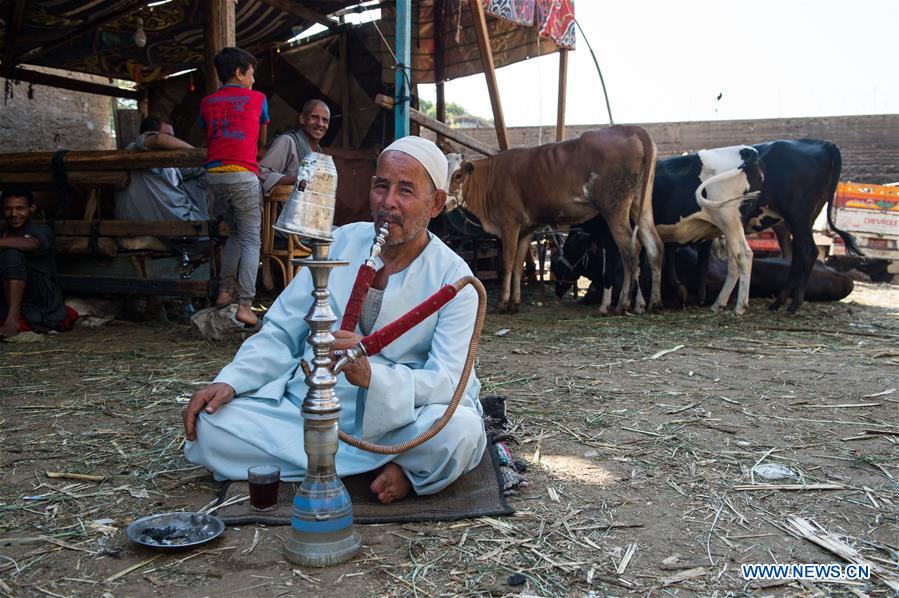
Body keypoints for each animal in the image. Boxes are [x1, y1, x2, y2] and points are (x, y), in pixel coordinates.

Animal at [448, 126, 660, 314]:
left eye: (458, 175)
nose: (444, 198)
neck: (491, 177)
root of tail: (629, 128)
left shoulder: (509, 224)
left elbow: (507, 262)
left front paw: (502, 303)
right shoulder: (526, 229)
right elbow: (519, 265)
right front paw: (514, 303)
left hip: (614, 209)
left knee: (630, 252)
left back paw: (622, 304)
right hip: (641, 206)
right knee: (654, 247)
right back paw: (652, 303)